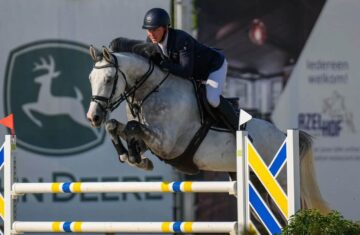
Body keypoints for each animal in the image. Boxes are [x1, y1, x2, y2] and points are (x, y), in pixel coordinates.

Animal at [86, 42, 330, 215]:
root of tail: (283, 135)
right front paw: (132, 157)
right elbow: (119, 127)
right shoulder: (152, 140)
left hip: (282, 182)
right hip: (255, 184)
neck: (150, 91)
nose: (93, 117)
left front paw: (137, 159)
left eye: (108, 79)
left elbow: (132, 127)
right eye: (90, 78)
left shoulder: (167, 144)